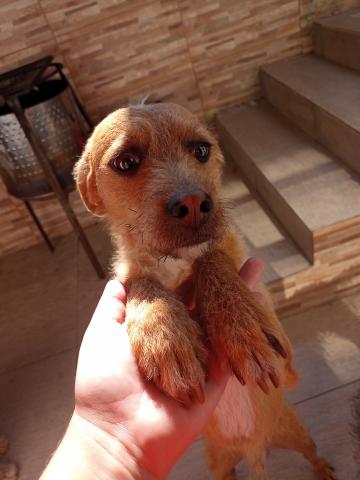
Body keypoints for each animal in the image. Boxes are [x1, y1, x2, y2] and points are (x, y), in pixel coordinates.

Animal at [74, 103, 334, 478]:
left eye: (201, 150)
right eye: (126, 161)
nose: (194, 202)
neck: (175, 264)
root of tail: (254, 449)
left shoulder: (285, 362)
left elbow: (212, 256)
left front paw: (239, 322)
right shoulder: (132, 274)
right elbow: (138, 280)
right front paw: (165, 336)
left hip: (296, 430)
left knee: (312, 454)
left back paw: (324, 469)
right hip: (220, 465)